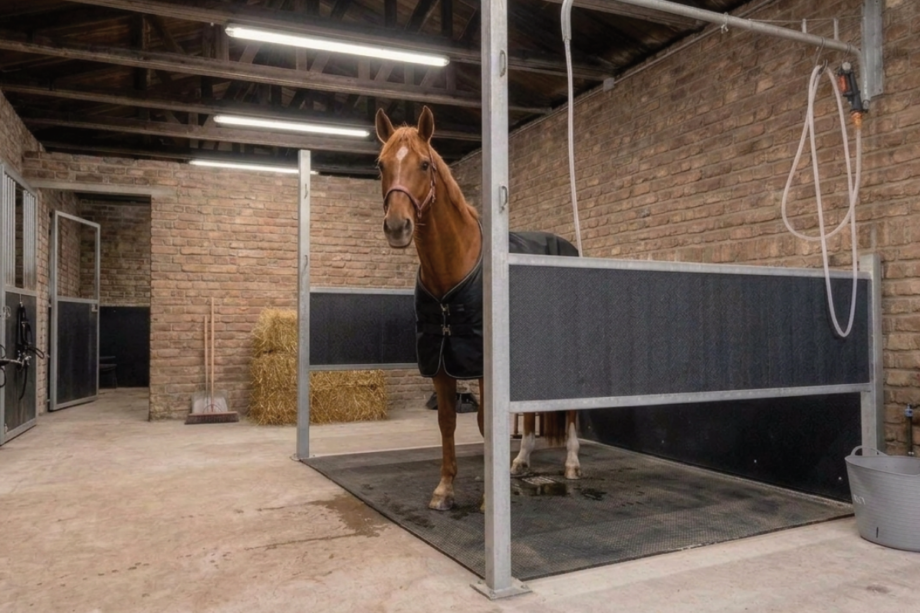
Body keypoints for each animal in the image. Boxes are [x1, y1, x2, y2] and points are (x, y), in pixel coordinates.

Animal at [375, 105, 581, 511]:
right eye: (381, 165)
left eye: (424, 164)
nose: (397, 227)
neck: (453, 268)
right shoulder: (440, 359)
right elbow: (448, 422)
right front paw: (444, 489)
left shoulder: (481, 362)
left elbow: (487, 422)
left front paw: (489, 499)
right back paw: (521, 462)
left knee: (570, 406)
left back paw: (571, 463)